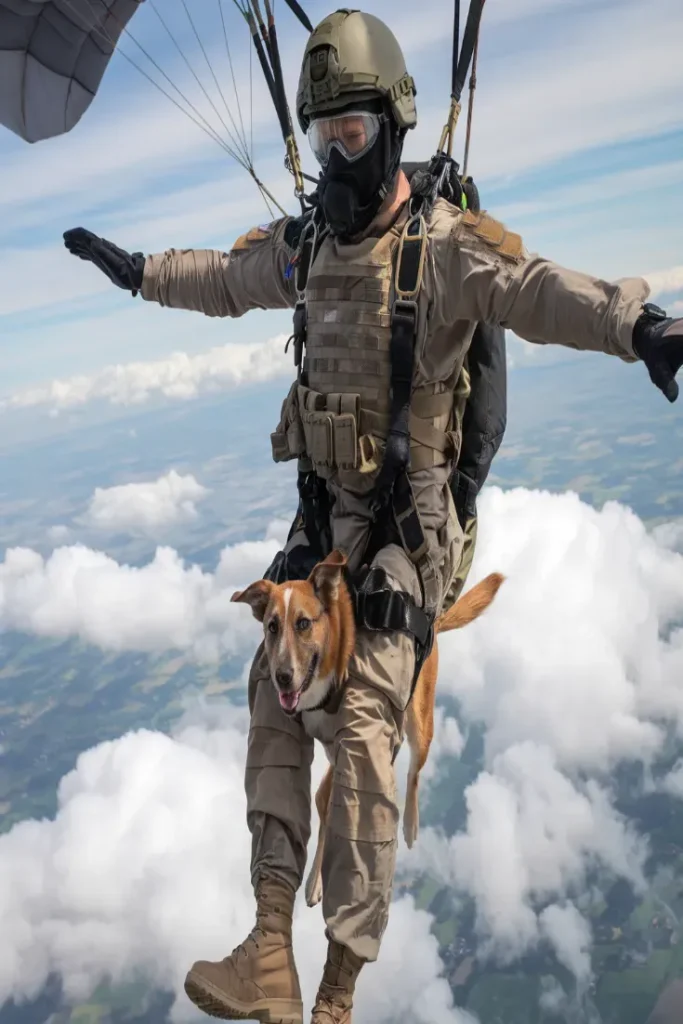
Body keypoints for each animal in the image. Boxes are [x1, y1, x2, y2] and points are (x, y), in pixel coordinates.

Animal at [229, 552, 501, 905]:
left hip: (420, 725)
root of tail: (430, 621)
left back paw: (410, 825)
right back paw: (315, 879)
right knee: (324, 799)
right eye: (271, 627)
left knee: (413, 771)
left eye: (303, 623)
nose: (282, 677)